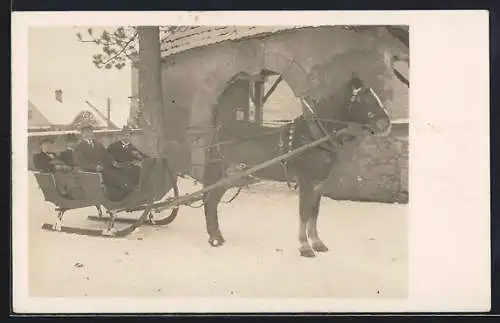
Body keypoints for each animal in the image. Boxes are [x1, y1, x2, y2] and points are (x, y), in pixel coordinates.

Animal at [201, 73, 392, 258]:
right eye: (363, 97)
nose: (386, 123)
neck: (313, 138)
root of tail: (217, 129)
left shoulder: (318, 184)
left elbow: (314, 213)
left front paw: (317, 243)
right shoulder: (306, 182)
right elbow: (304, 213)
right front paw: (305, 247)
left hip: (228, 176)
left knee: (212, 201)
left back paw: (217, 237)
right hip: (218, 173)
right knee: (209, 201)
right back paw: (214, 238)